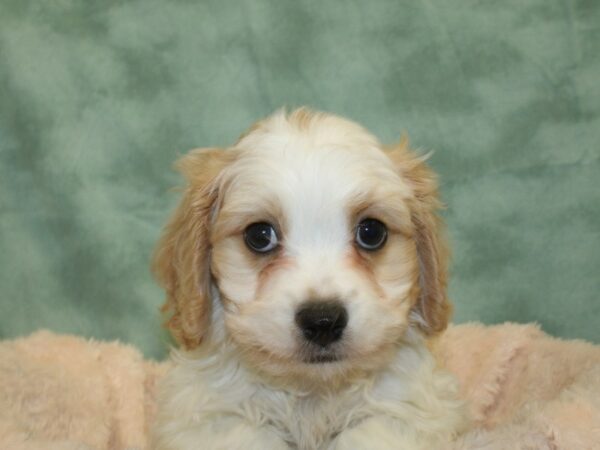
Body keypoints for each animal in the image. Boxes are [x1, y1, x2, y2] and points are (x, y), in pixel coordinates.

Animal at [152, 110, 466, 450]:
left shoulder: (405, 408)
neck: (313, 391)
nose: (323, 320)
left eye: (371, 232)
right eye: (259, 235)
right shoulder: (208, 416)